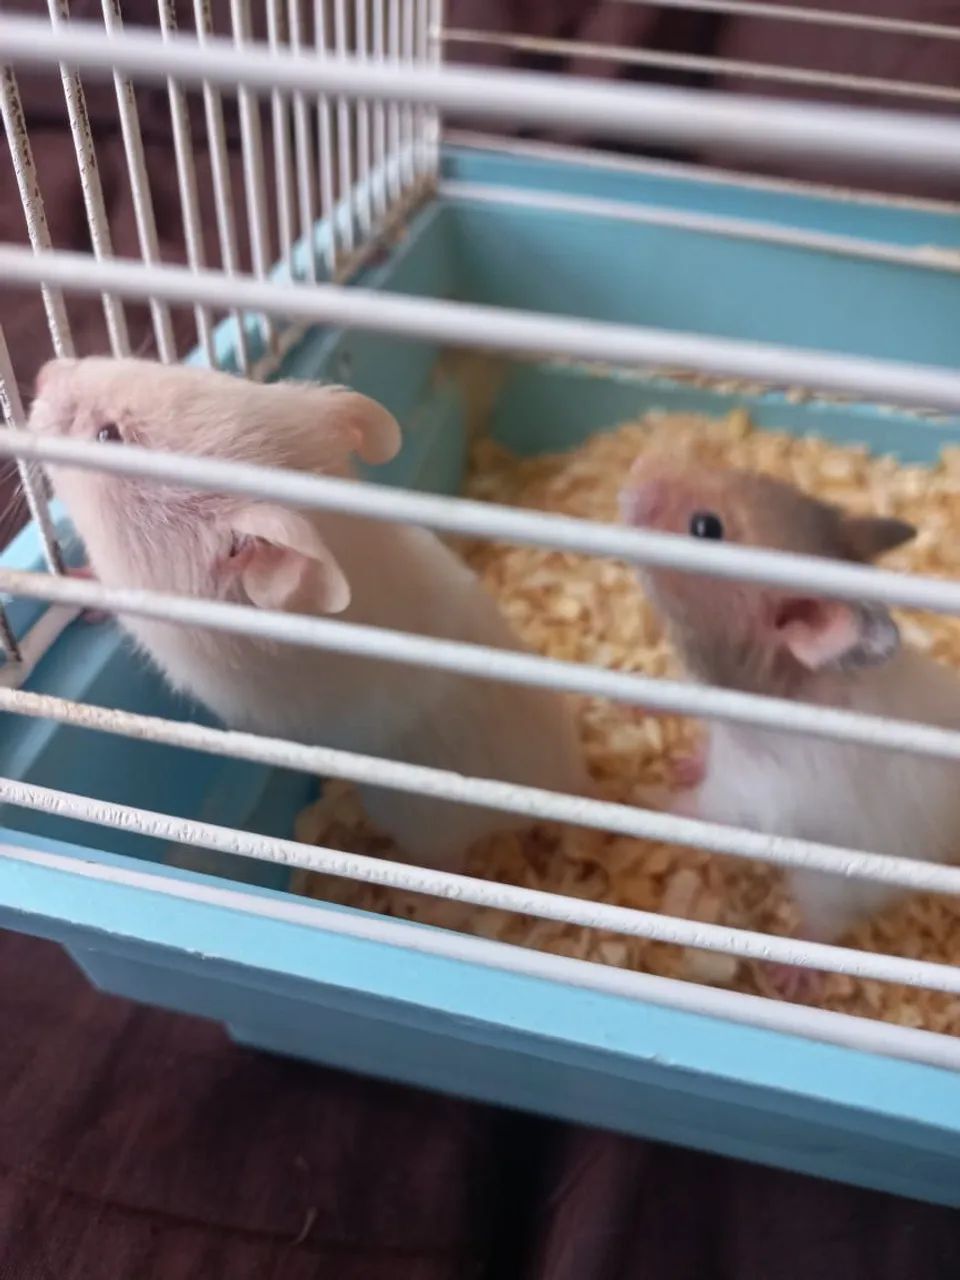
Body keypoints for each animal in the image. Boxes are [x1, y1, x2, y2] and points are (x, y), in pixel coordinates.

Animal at [620, 454, 960, 998]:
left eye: (705, 528)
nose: (642, 463)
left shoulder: (757, 797)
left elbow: (701, 810)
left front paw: (648, 802)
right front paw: (649, 727)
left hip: (836, 884)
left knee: (825, 925)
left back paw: (791, 974)